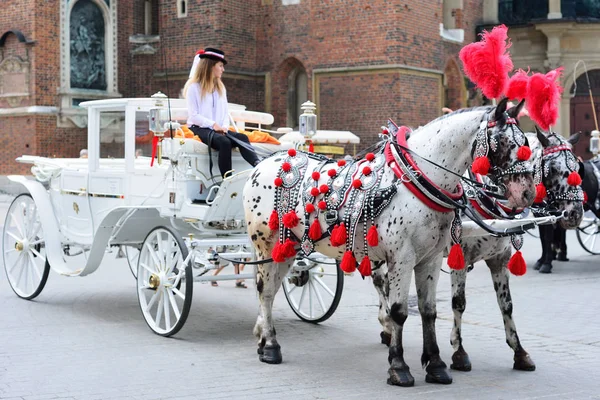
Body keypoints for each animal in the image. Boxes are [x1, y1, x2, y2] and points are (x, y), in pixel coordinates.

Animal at [243, 97, 536, 388]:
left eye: (526, 143)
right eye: (503, 143)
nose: (528, 194)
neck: (417, 178)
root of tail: (264, 163)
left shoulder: (431, 259)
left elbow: (430, 311)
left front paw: (436, 365)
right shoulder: (405, 258)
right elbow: (400, 312)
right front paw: (399, 367)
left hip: (288, 248)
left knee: (271, 290)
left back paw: (262, 337)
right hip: (267, 244)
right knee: (265, 291)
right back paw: (270, 346)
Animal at [372, 126, 584, 374]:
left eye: (578, 167)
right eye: (554, 169)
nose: (576, 213)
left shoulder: (500, 260)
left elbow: (507, 305)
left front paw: (519, 352)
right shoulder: (460, 259)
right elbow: (459, 302)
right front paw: (459, 352)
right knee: (380, 281)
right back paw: (386, 322)